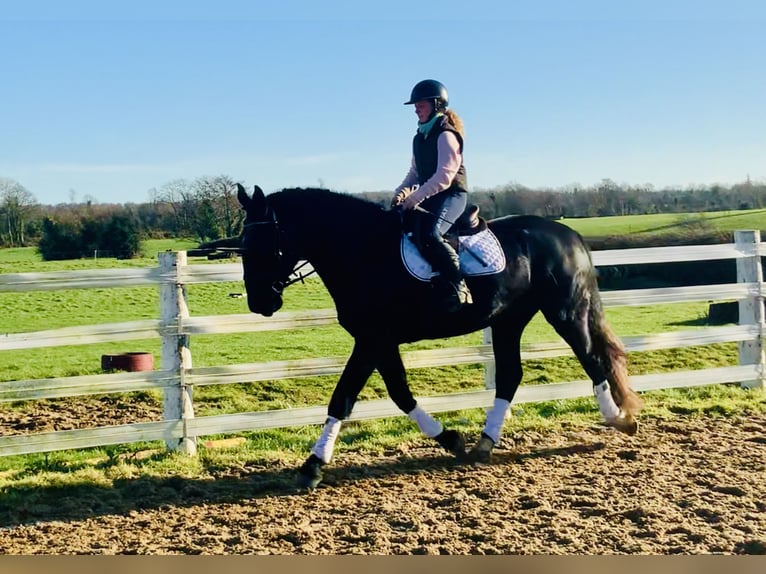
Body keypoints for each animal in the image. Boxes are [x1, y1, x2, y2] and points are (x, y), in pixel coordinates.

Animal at [225, 184, 644, 490]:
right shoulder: (379, 341)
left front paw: (312, 466)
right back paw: (484, 443)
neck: (362, 251)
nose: (259, 302)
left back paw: (619, 419)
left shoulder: (372, 339)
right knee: (510, 375)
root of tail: (568, 233)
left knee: (592, 359)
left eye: (263, 244)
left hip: (565, 311)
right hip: (508, 320)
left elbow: (343, 398)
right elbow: (398, 393)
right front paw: (452, 439)